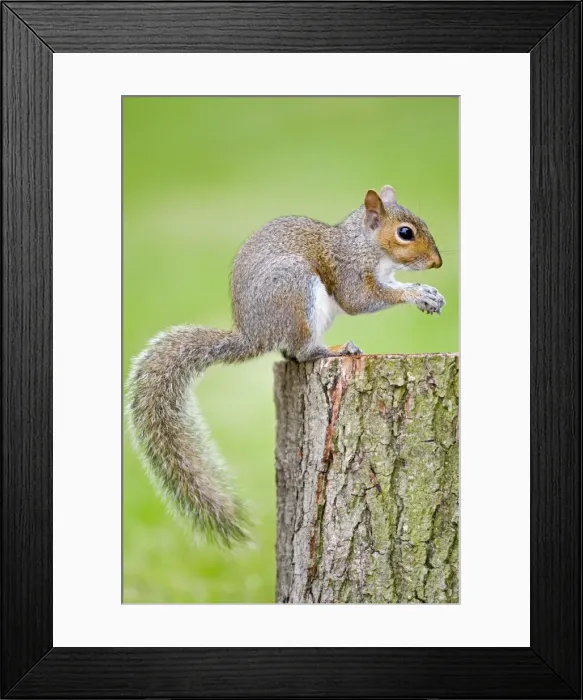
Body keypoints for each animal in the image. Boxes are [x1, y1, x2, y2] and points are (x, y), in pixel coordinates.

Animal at [126, 185, 445, 546]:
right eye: (405, 233)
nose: (437, 262)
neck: (364, 244)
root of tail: (253, 335)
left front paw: (428, 292)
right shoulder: (348, 271)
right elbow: (360, 300)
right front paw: (417, 294)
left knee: (290, 355)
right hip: (295, 290)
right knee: (301, 353)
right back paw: (335, 350)